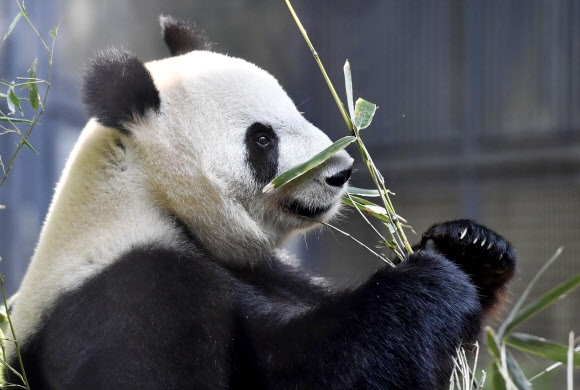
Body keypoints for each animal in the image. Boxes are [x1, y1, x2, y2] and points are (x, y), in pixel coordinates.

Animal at [6, 15, 516, 390]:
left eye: (294, 110)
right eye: (263, 138)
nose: (341, 172)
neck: (147, 195)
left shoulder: (267, 272)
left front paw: (471, 247)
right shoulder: (130, 299)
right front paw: (431, 282)